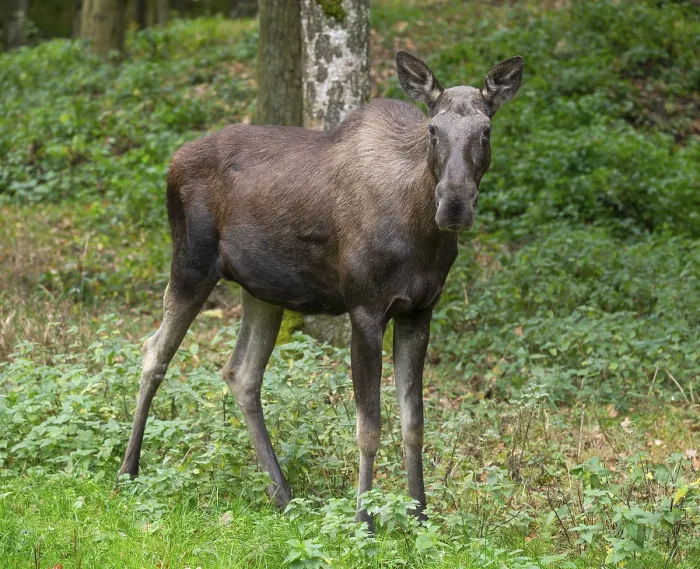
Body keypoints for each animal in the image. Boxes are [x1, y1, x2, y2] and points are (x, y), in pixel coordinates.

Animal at [117, 51, 524, 527]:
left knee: (241, 373)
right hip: (190, 264)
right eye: (433, 129)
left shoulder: (419, 311)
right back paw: (128, 470)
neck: (422, 235)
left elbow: (415, 423)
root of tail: (172, 161)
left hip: (262, 290)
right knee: (154, 352)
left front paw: (421, 517)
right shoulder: (364, 308)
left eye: (486, 130)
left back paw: (282, 492)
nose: (455, 204)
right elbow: (369, 426)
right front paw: (363, 519)